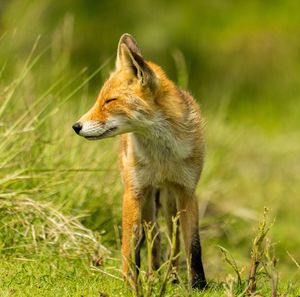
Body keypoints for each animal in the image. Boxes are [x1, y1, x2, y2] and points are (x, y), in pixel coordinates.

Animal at [72, 33, 207, 290]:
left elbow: (193, 246)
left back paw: (171, 276)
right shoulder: (133, 190)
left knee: (173, 240)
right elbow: (129, 244)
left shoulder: (187, 191)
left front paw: (198, 286)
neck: (161, 158)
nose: (76, 126)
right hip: (147, 199)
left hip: (169, 200)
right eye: (99, 100)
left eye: (109, 101)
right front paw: (129, 283)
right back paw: (153, 275)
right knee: (154, 236)